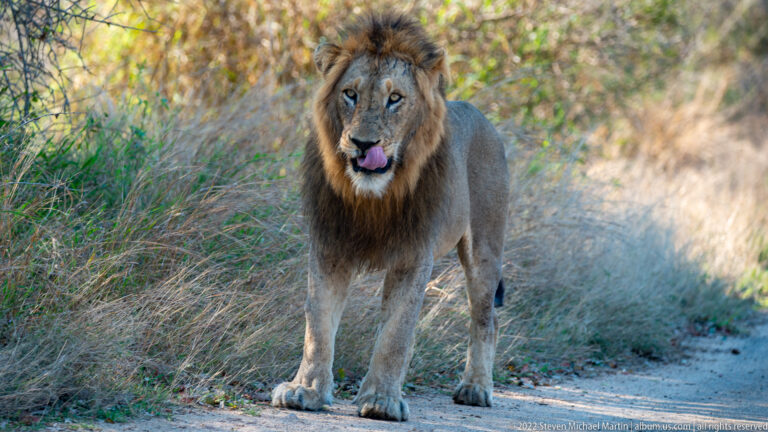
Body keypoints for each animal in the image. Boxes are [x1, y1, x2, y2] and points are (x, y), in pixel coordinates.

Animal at [271, 12, 509, 422]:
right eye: (350, 94)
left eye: (394, 98)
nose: (364, 144)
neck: (373, 197)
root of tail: (485, 120)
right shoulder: (329, 246)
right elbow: (317, 324)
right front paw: (306, 390)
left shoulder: (413, 255)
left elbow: (397, 333)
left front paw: (381, 400)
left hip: (484, 250)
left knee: (486, 319)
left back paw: (476, 389)